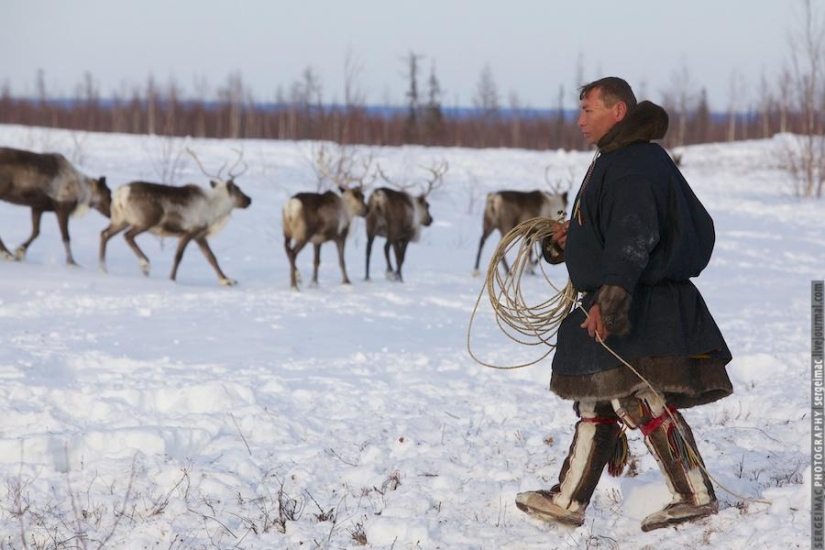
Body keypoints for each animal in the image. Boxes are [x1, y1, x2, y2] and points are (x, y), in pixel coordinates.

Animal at [99, 148, 252, 286]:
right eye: (238, 189)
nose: (249, 200)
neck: (215, 209)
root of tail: (121, 193)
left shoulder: (199, 236)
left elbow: (211, 257)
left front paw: (227, 280)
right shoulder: (188, 232)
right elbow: (178, 257)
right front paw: (172, 280)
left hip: (120, 220)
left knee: (104, 234)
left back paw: (103, 269)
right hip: (146, 221)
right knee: (128, 236)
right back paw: (145, 264)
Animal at [282, 145, 374, 290]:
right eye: (362, 197)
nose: (367, 210)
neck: (348, 211)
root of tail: (291, 205)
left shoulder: (317, 241)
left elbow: (316, 261)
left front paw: (314, 283)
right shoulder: (340, 237)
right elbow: (342, 260)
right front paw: (346, 281)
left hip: (287, 232)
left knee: (287, 250)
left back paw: (298, 278)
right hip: (303, 234)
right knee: (292, 253)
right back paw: (294, 285)